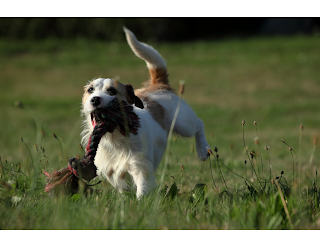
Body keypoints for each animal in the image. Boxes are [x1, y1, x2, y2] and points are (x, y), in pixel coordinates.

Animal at [81, 27, 209, 198]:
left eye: (112, 91)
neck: (115, 137)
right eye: (90, 90)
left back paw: (202, 150)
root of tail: (157, 85)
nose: (95, 99)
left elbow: (142, 189)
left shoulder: (140, 167)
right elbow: (122, 188)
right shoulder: (112, 171)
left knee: (199, 124)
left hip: (183, 123)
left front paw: (141, 203)